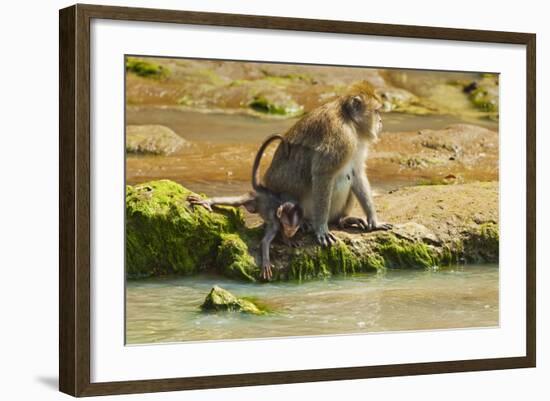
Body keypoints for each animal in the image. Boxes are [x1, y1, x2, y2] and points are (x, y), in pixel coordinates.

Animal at [188, 134, 304, 278]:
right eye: (288, 226)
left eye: (294, 228)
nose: (290, 232)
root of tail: (261, 189)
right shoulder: (276, 223)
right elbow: (265, 242)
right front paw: (266, 261)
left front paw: (288, 239)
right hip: (252, 197)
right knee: (236, 201)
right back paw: (208, 201)